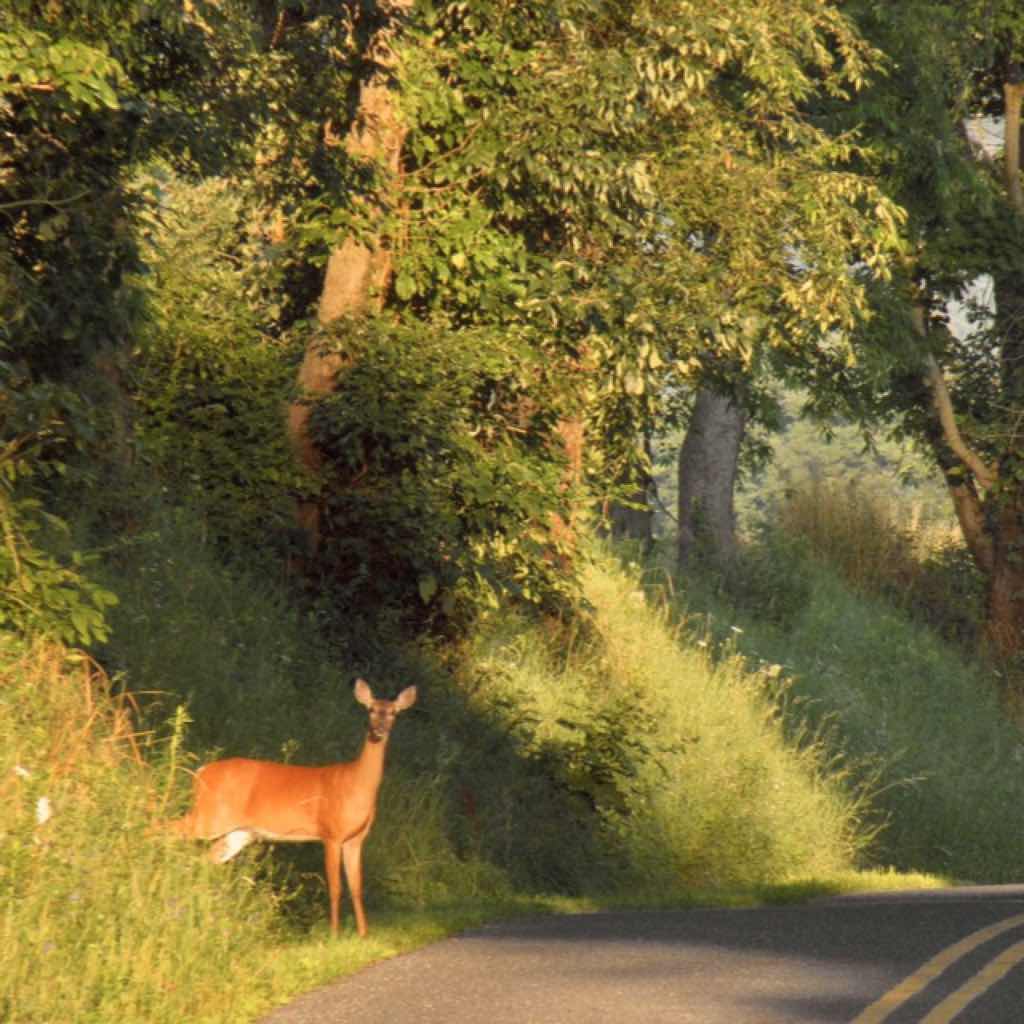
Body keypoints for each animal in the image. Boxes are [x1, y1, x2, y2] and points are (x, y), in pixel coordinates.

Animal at [169, 679, 417, 937]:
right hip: (210, 815)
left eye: (394, 712)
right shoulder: (331, 833)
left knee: (207, 858)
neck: (355, 783)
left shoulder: (356, 839)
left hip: (237, 832)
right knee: (166, 828)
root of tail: (201, 772)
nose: (379, 729)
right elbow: (336, 886)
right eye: (370, 709)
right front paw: (334, 933)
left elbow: (356, 886)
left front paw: (363, 933)